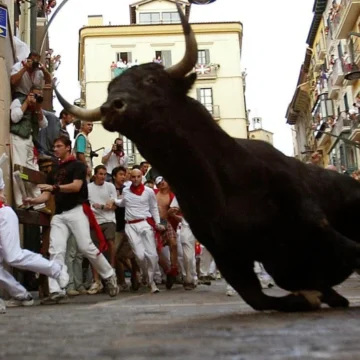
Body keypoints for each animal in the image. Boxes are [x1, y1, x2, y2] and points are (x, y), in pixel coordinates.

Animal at [54, 2, 360, 312]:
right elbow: (260, 295)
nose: (110, 107)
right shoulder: (229, 255)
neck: (218, 183)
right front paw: (309, 297)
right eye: (109, 89)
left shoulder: (315, 226)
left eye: (151, 79)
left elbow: (344, 255)